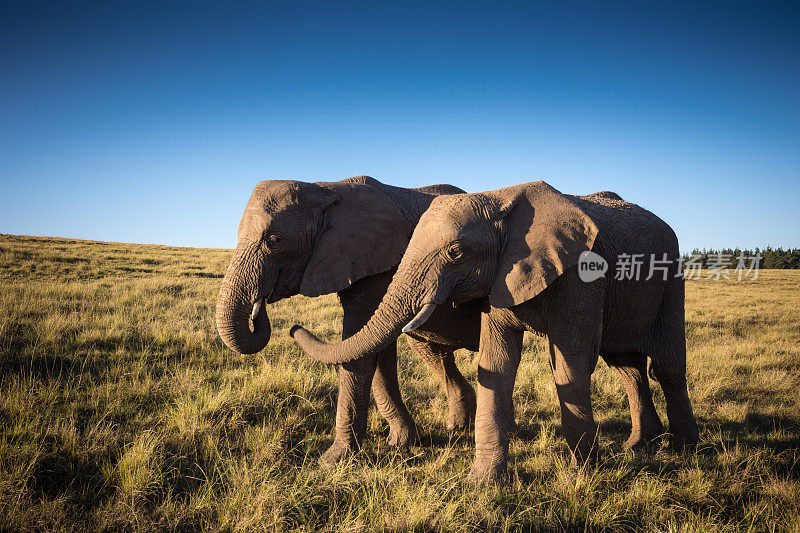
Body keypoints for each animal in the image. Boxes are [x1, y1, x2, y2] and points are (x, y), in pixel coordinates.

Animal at [212, 177, 484, 464]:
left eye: (273, 240)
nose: (292, 328)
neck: (326, 189)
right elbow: (374, 349)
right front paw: (401, 442)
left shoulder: (379, 263)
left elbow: (359, 348)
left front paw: (332, 460)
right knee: (429, 349)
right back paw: (458, 426)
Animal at [292, 180, 700, 482]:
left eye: (456, 252)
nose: (295, 326)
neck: (501, 198)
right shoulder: (499, 277)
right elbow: (498, 362)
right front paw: (483, 483)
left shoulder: (581, 274)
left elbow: (570, 362)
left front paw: (580, 475)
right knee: (627, 366)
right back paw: (639, 446)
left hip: (671, 280)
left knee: (666, 367)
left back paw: (683, 451)